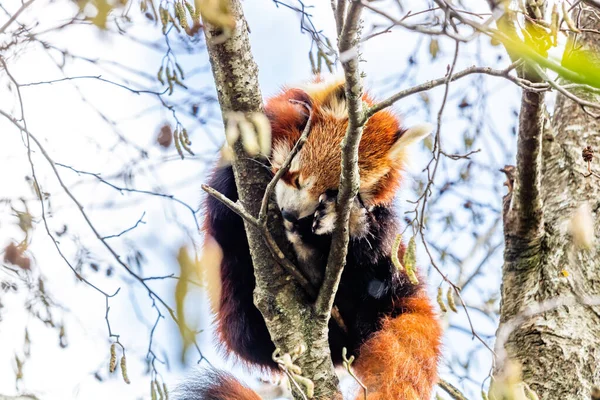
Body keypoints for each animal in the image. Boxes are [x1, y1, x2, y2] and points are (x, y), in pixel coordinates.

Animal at [189, 79, 446, 400]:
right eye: (296, 177)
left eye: (333, 192)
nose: (291, 214)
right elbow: (225, 209)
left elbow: (374, 243)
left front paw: (342, 219)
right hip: (235, 304)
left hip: (389, 275)